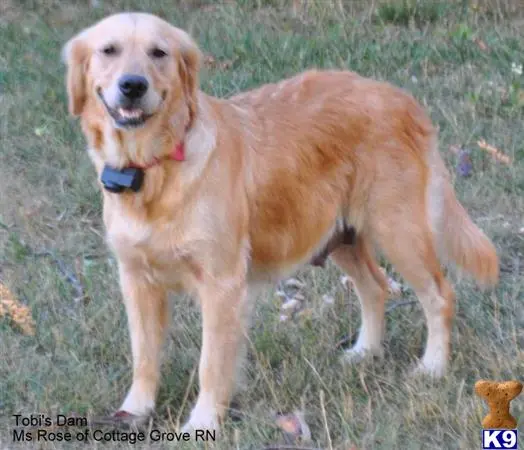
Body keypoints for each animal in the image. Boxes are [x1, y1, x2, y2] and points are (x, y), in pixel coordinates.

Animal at [62, 12, 500, 430]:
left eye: (158, 53)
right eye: (109, 50)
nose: (132, 86)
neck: (153, 170)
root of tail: (401, 97)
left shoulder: (222, 284)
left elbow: (211, 364)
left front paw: (203, 421)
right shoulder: (136, 279)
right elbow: (144, 356)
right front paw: (134, 411)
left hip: (398, 230)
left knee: (440, 295)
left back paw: (433, 366)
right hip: (341, 236)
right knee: (376, 288)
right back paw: (364, 352)